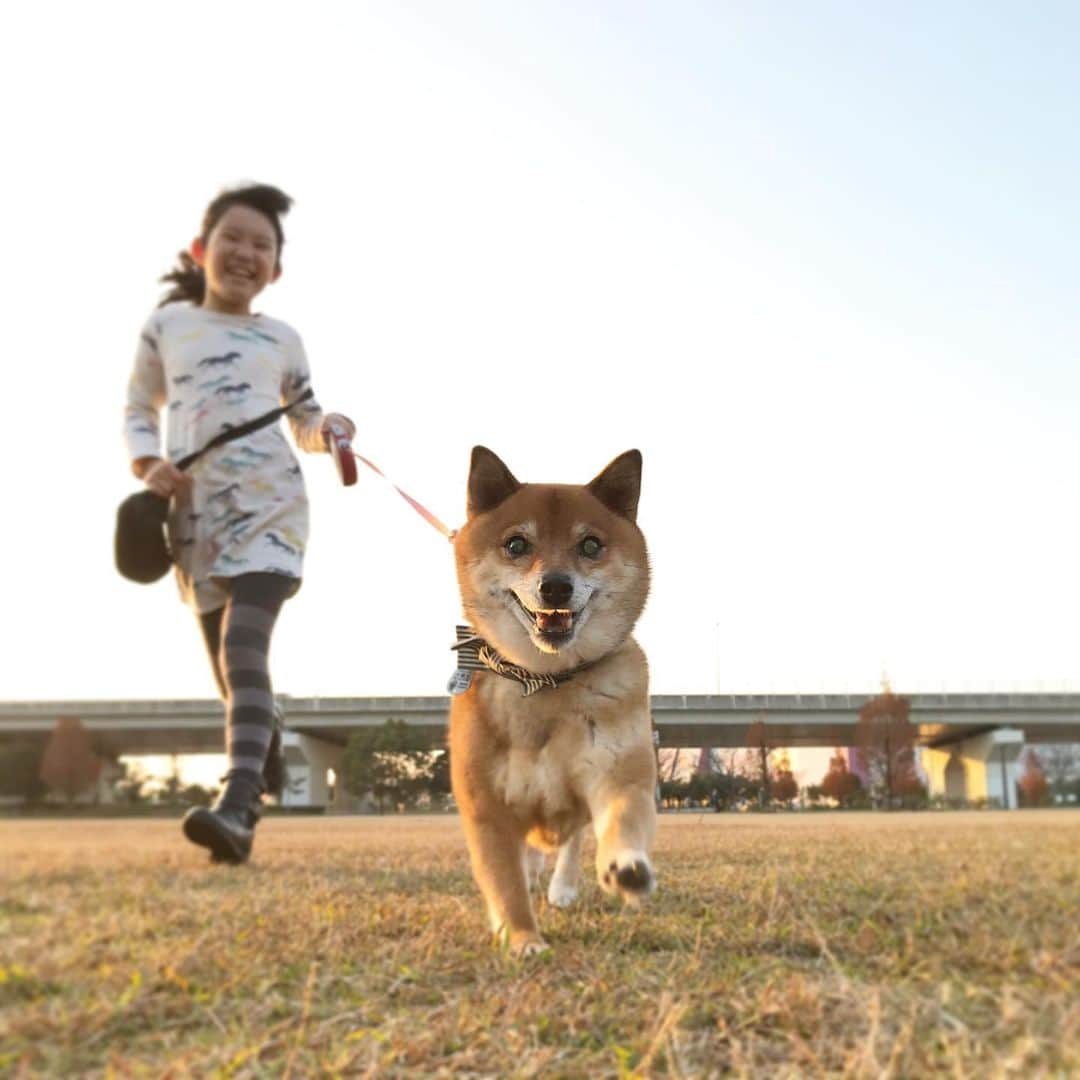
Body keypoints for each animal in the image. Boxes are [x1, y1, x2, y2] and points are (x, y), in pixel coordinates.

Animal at [449, 444, 656, 954]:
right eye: (516, 545)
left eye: (591, 546)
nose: (556, 585)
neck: (543, 681)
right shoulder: (486, 806)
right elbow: (504, 880)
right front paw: (523, 938)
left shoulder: (618, 772)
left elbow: (622, 819)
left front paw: (628, 868)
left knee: (571, 841)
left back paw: (563, 886)